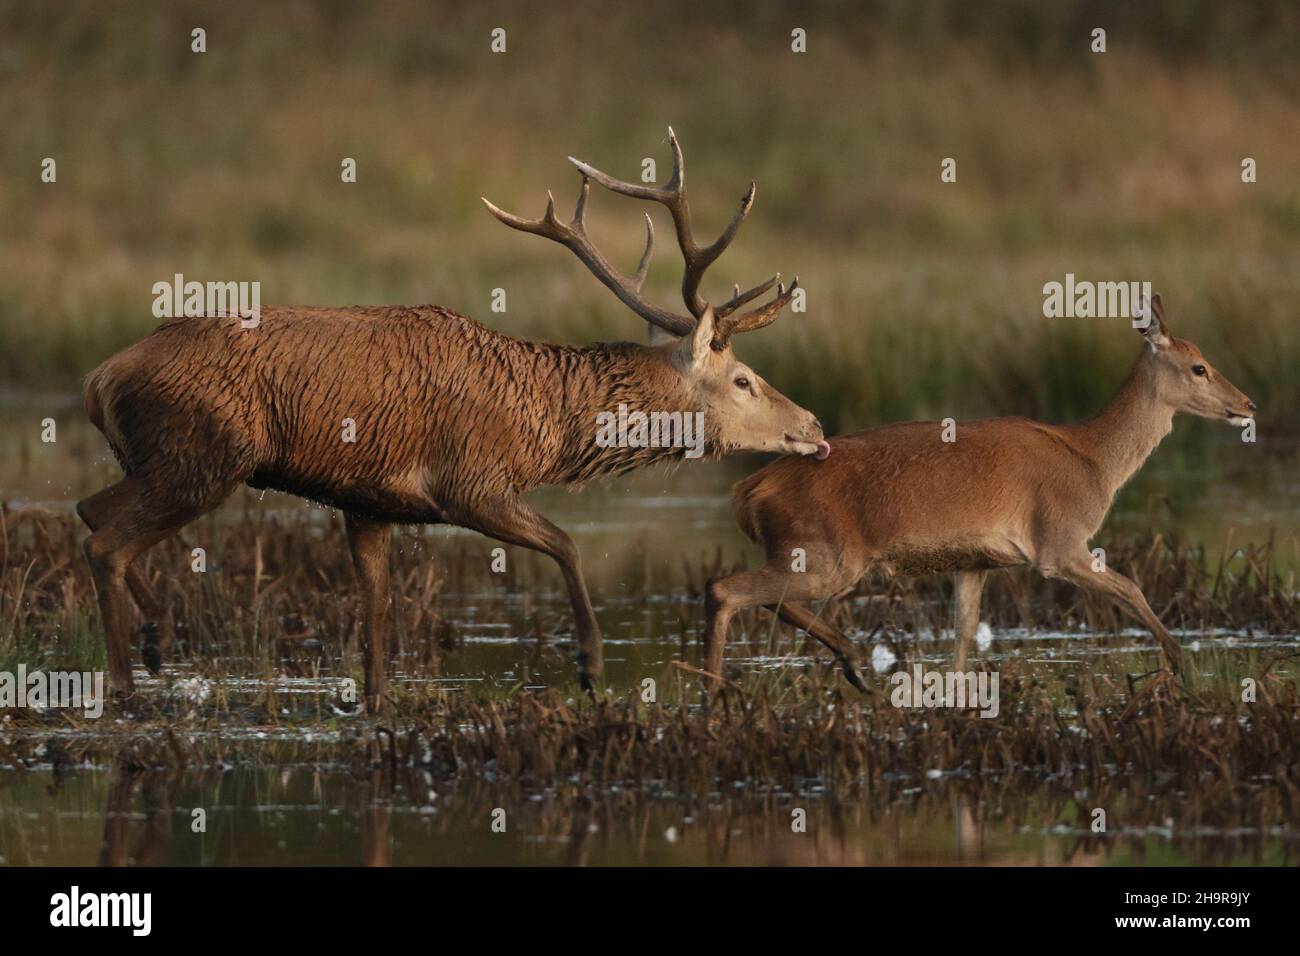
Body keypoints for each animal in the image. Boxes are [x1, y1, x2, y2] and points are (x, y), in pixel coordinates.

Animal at [81, 128, 826, 712]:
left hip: (163, 459)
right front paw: (590, 667)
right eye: (743, 379)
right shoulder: (470, 483)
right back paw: (127, 681)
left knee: (91, 511)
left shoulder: (369, 505)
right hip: (205, 453)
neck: (546, 426)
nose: (814, 427)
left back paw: (158, 637)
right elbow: (567, 543)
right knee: (107, 542)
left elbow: (376, 617)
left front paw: (375, 698)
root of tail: (97, 379)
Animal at [707, 299, 1253, 686]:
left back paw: (855, 663)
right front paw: (1181, 668)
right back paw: (716, 703)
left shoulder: (975, 564)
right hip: (825, 560)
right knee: (725, 591)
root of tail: (747, 489)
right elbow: (1133, 588)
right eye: (1199, 366)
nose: (1247, 404)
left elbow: (962, 641)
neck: (1092, 458)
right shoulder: (1059, 548)